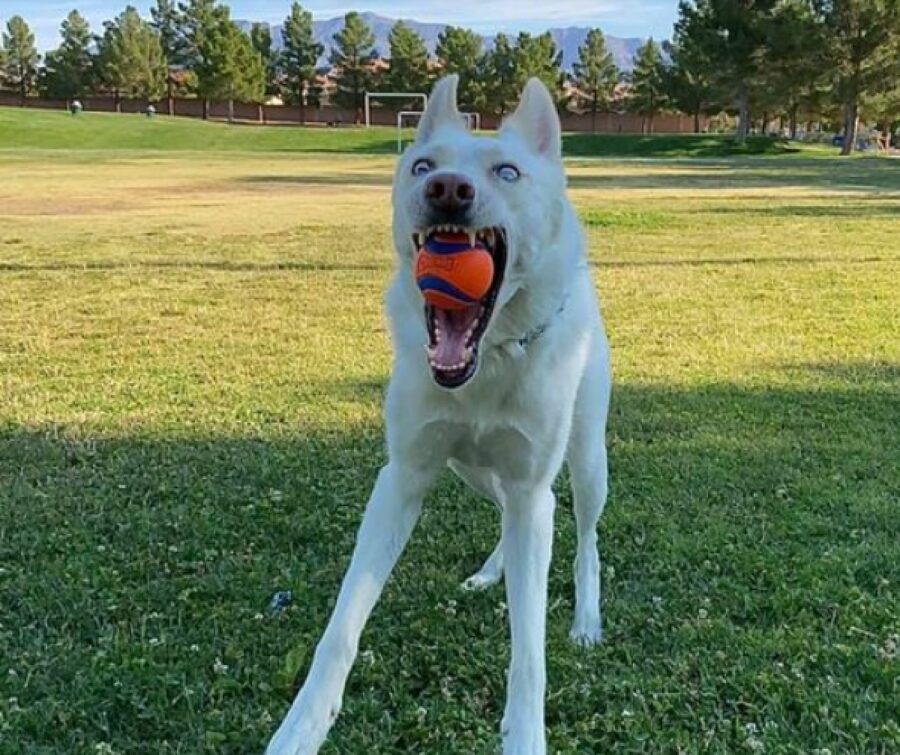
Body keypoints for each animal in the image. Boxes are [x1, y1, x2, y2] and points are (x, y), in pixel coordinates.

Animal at [264, 77, 608, 755]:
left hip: (586, 462)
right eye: (421, 166)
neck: (487, 363)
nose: (447, 188)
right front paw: (301, 727)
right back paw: (492, 572)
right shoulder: (402, 479)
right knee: (507, 515)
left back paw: (586, 619)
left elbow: (529, 653)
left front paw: (524, 734)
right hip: (468, 469)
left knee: (584, 538)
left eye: (508, 171)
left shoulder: (532, 487)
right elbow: (341, 626)